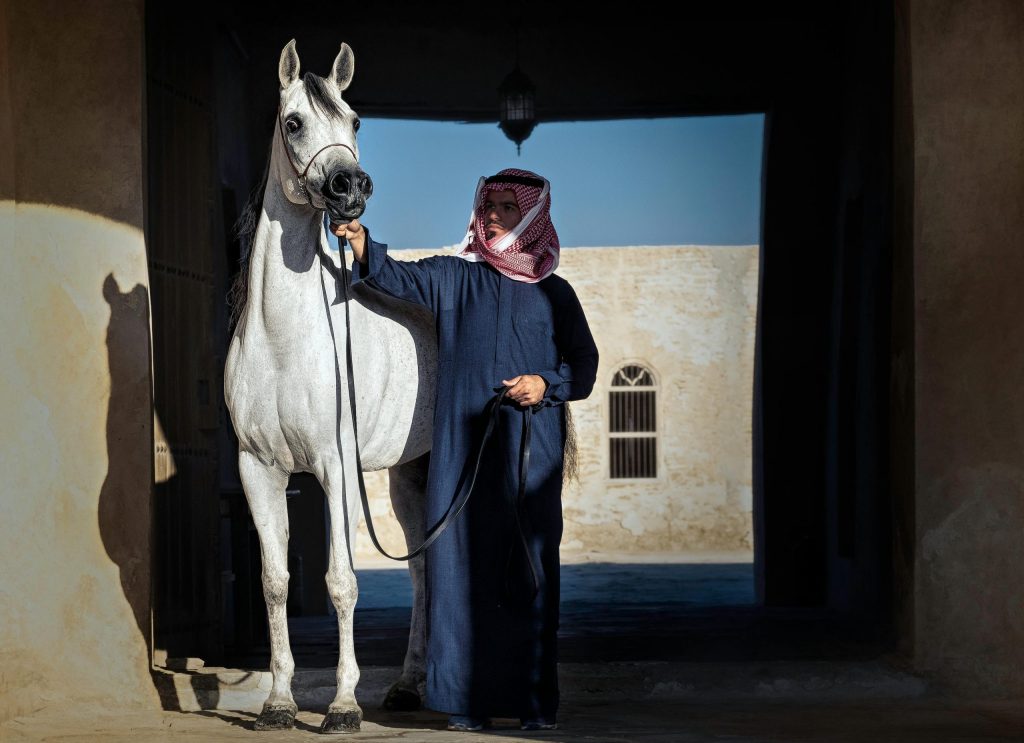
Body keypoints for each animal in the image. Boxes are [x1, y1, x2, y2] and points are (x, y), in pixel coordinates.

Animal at [224, 39, 435, 734]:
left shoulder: (334, 467)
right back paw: (407, 687)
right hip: (411, 474)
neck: (284, 341)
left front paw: (343, 706)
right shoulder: (259, 469)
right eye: (293, 122)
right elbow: (275, 581)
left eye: (356, 121)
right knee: (423, 570)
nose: (351, 188)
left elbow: (341, 580)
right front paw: (278, 703)